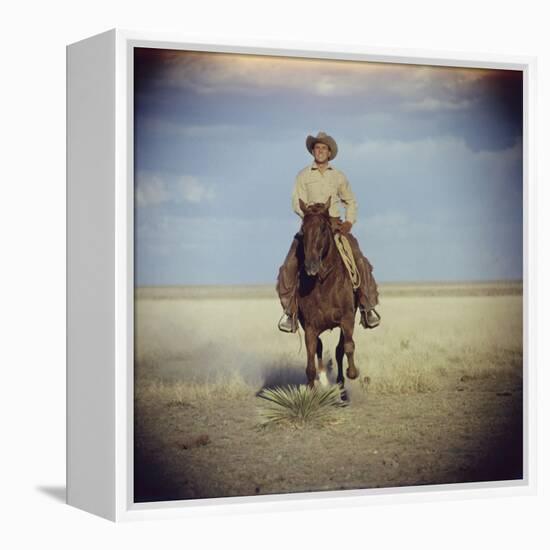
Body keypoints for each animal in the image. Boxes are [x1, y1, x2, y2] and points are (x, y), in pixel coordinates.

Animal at [298, 196, 362, 398]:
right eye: (303, 230)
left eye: (323, 228)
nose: (311, 265)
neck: (324, 283)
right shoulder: (310, 327)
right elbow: (310, 365)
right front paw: (312, 392)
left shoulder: (347, 318)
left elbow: (347, 347)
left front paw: (352, 373)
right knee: (319, 348)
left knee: (340, 349)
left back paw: (341, 387)